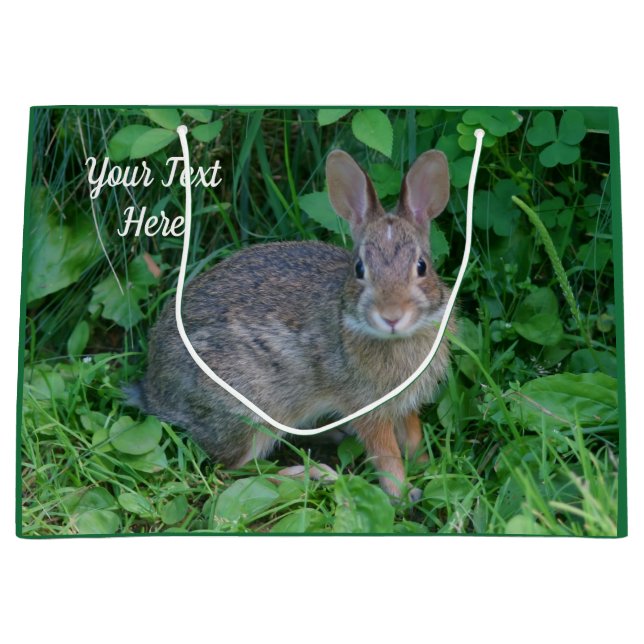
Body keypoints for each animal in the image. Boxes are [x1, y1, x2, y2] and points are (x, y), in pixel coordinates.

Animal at [126, 148, 454, 501]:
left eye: (421, 266)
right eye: (359, 268)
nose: (391, 315)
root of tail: (155, 392)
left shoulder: (404, 405)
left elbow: (413, 436)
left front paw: (427, 468)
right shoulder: (368, 407)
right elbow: (387, 455)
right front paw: (401, 494)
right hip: (250, 412)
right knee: (233, 473)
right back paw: (312, 474)